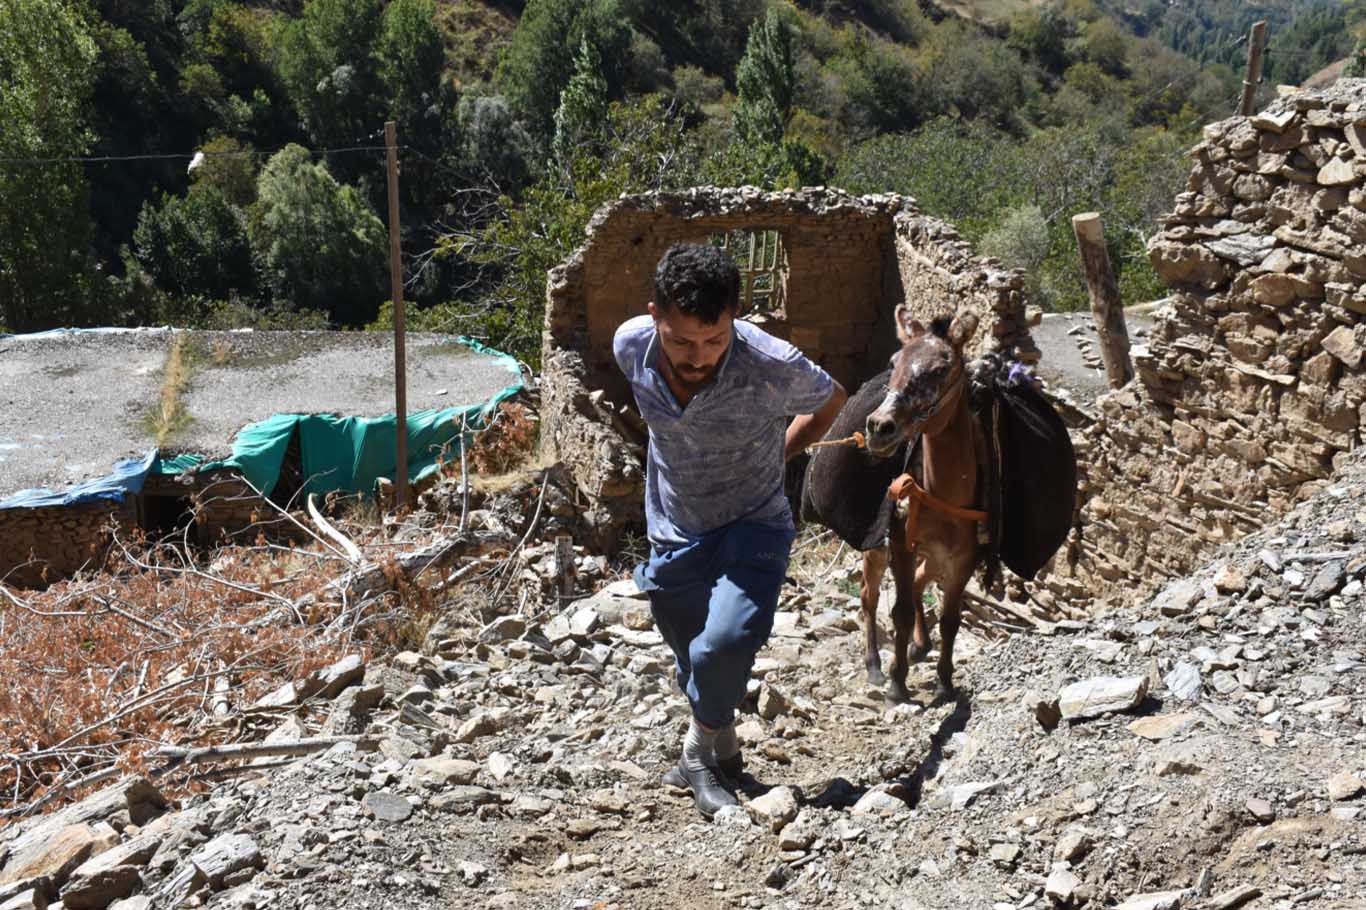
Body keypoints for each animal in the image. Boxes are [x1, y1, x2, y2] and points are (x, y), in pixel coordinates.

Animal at [863, 306, 983, 699]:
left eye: (941, 369)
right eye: (893, 361)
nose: (879, 427)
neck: (942, 494)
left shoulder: (962, 559)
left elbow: (951, 619)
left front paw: (945, 680)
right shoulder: (901, 546)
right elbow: (898, 612)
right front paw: (897, 683)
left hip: (935, 557)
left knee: (918, 582)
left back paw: (920, 645)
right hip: (877, 550)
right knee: (869, 596)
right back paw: (875, 665)